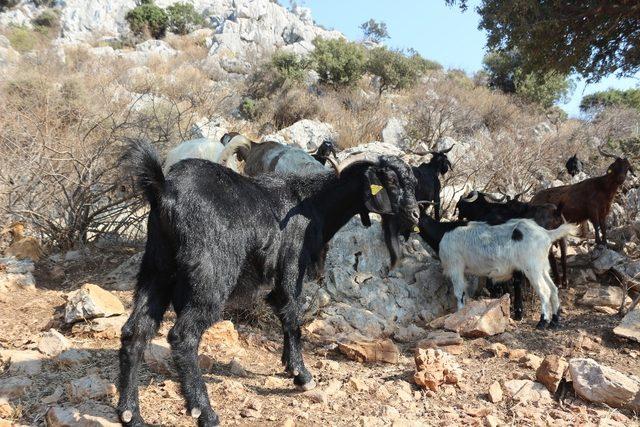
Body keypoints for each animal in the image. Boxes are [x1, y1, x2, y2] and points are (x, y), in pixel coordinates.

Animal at [418, 216, 576, 330]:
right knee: (553, 289)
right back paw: (554, 321)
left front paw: (458, 316)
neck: (443, 232)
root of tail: (546, 234)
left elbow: (459, 293)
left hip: (532, 268)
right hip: (542, 266)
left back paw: (542, 322)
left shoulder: (455, 266)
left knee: (544, 291)